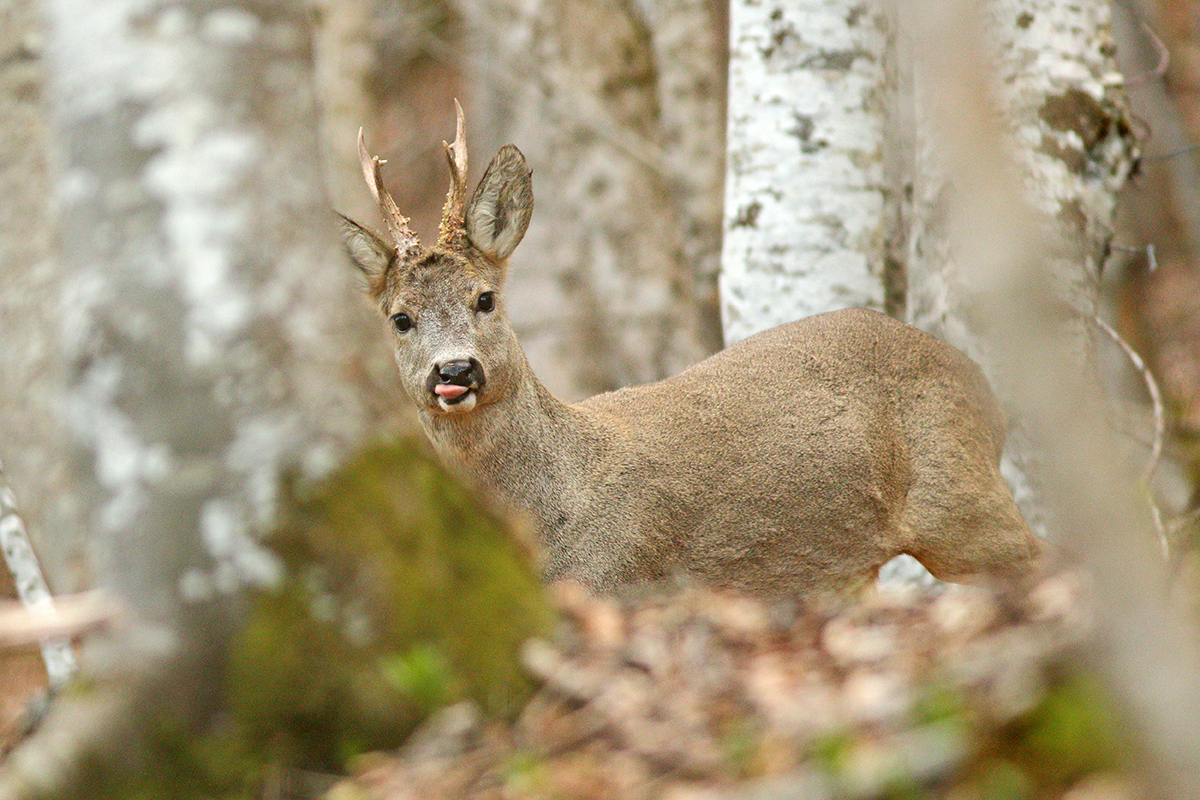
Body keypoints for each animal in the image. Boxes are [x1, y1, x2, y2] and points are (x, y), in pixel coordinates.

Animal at [338, 103, 1041, 599]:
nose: (455, 370)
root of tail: (983, 388)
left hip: (958, 496)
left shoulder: (625, 582)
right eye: (401, 319)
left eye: (485, 298)